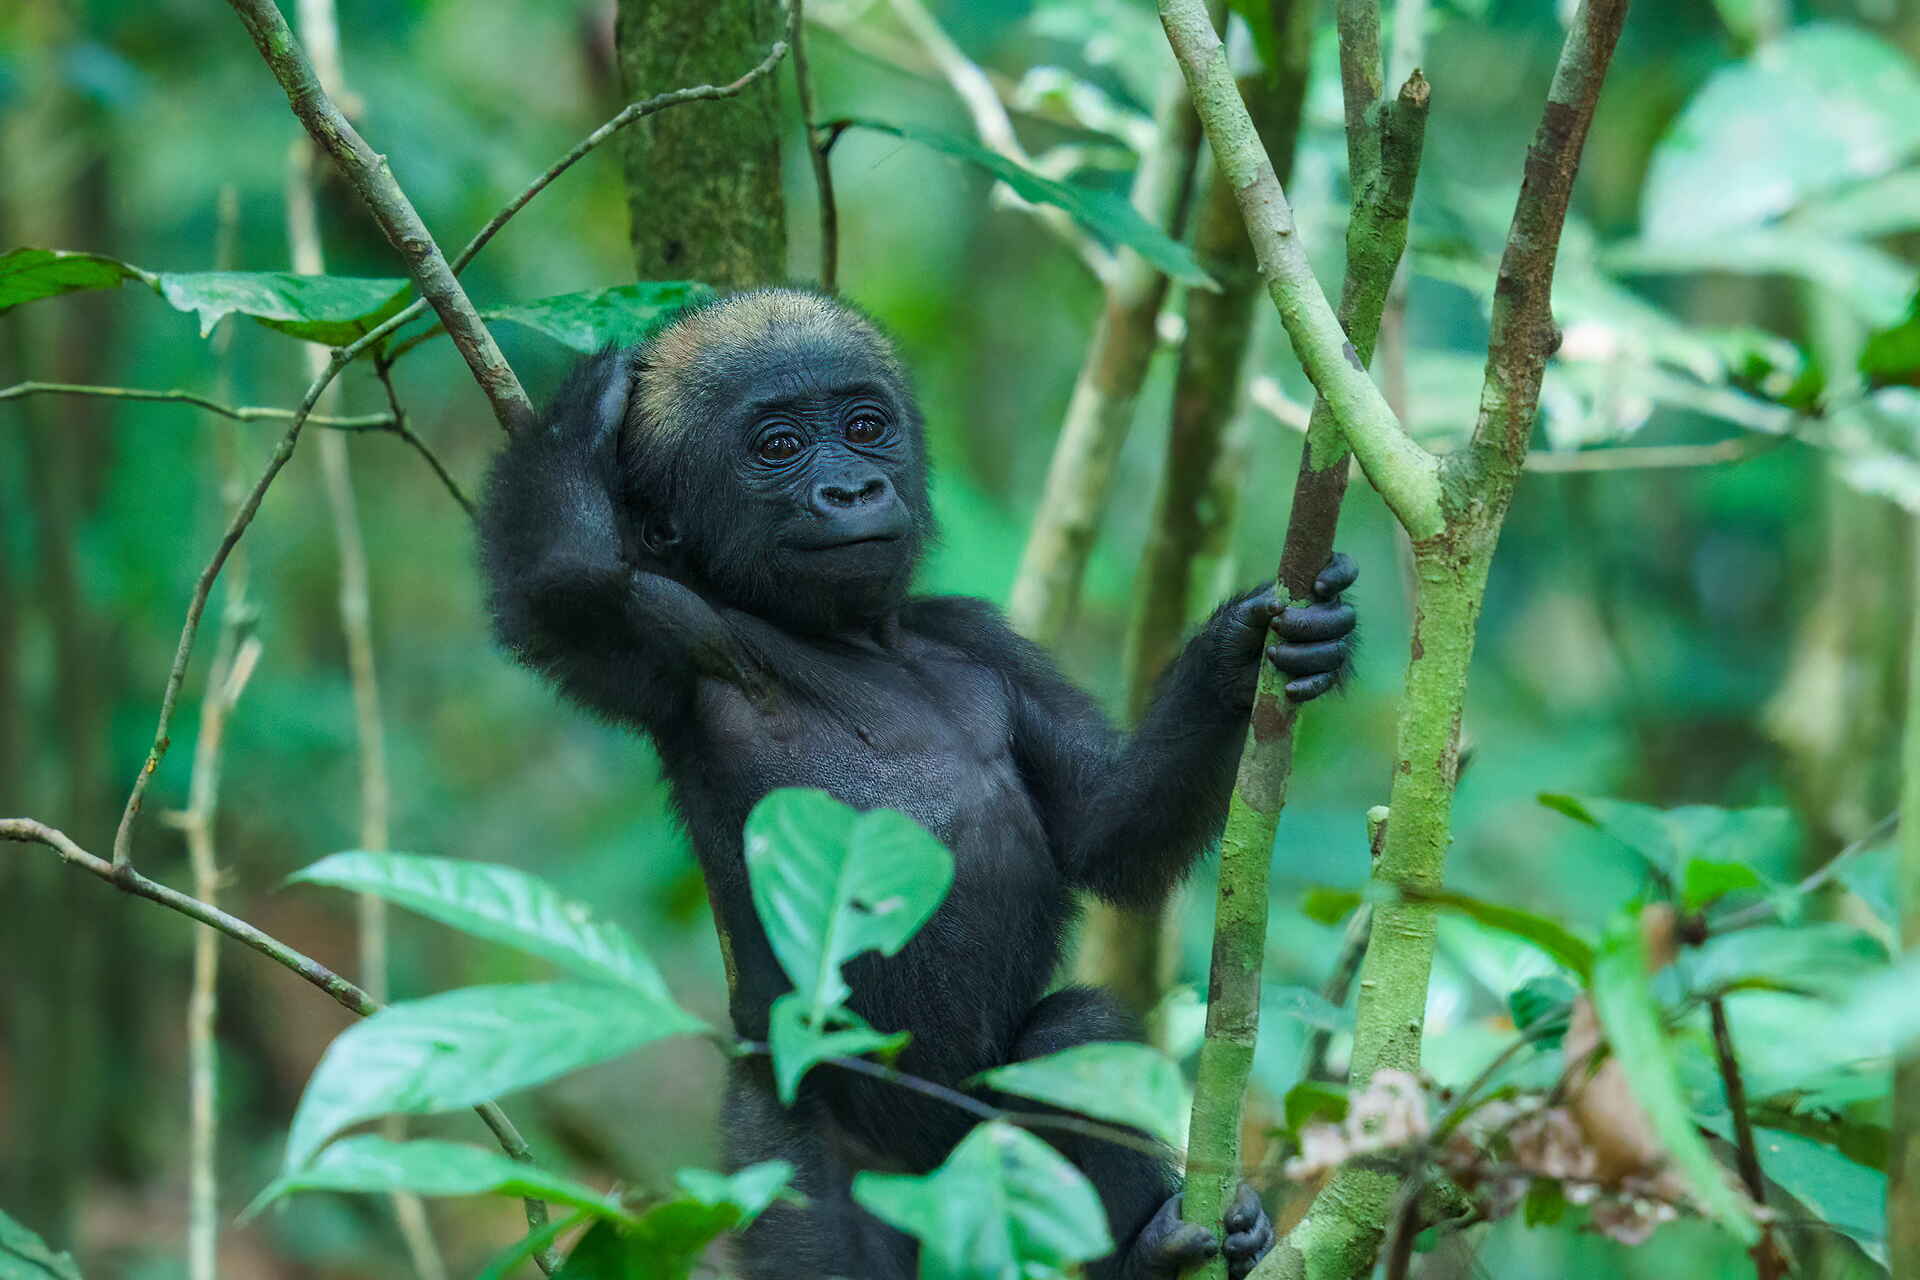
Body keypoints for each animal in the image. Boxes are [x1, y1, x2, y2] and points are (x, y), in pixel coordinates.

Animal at [478, 288, 1357, 1278]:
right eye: (778, 446)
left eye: (866, 428)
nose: (853, 489)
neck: (857, 640)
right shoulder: (672, 638)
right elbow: (566, 589)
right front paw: (589, 398)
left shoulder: (981, 640)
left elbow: (1107, 827)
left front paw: (1243, 653)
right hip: (794, 1135)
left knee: (1075, 1039)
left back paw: (1155, 1249)